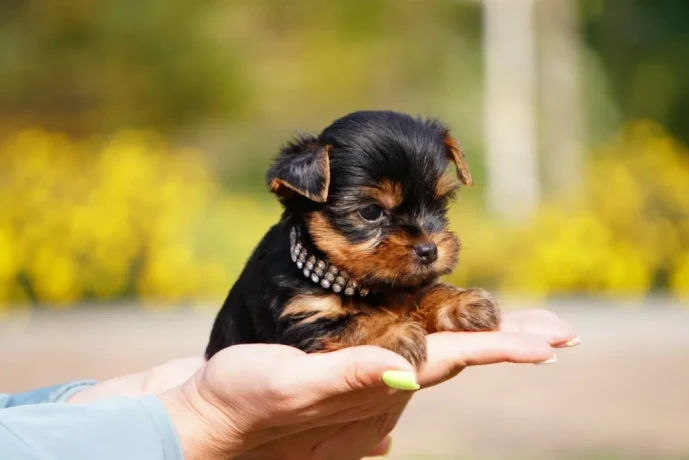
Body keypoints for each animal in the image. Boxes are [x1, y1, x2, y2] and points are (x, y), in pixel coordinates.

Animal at [204, 109, 500, 368]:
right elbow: (355, 321)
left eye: (441, 204)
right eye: (371, 212)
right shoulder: (302, 321)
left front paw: (460, 301)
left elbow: (421, 291)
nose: (429, 250)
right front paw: (393, 331)